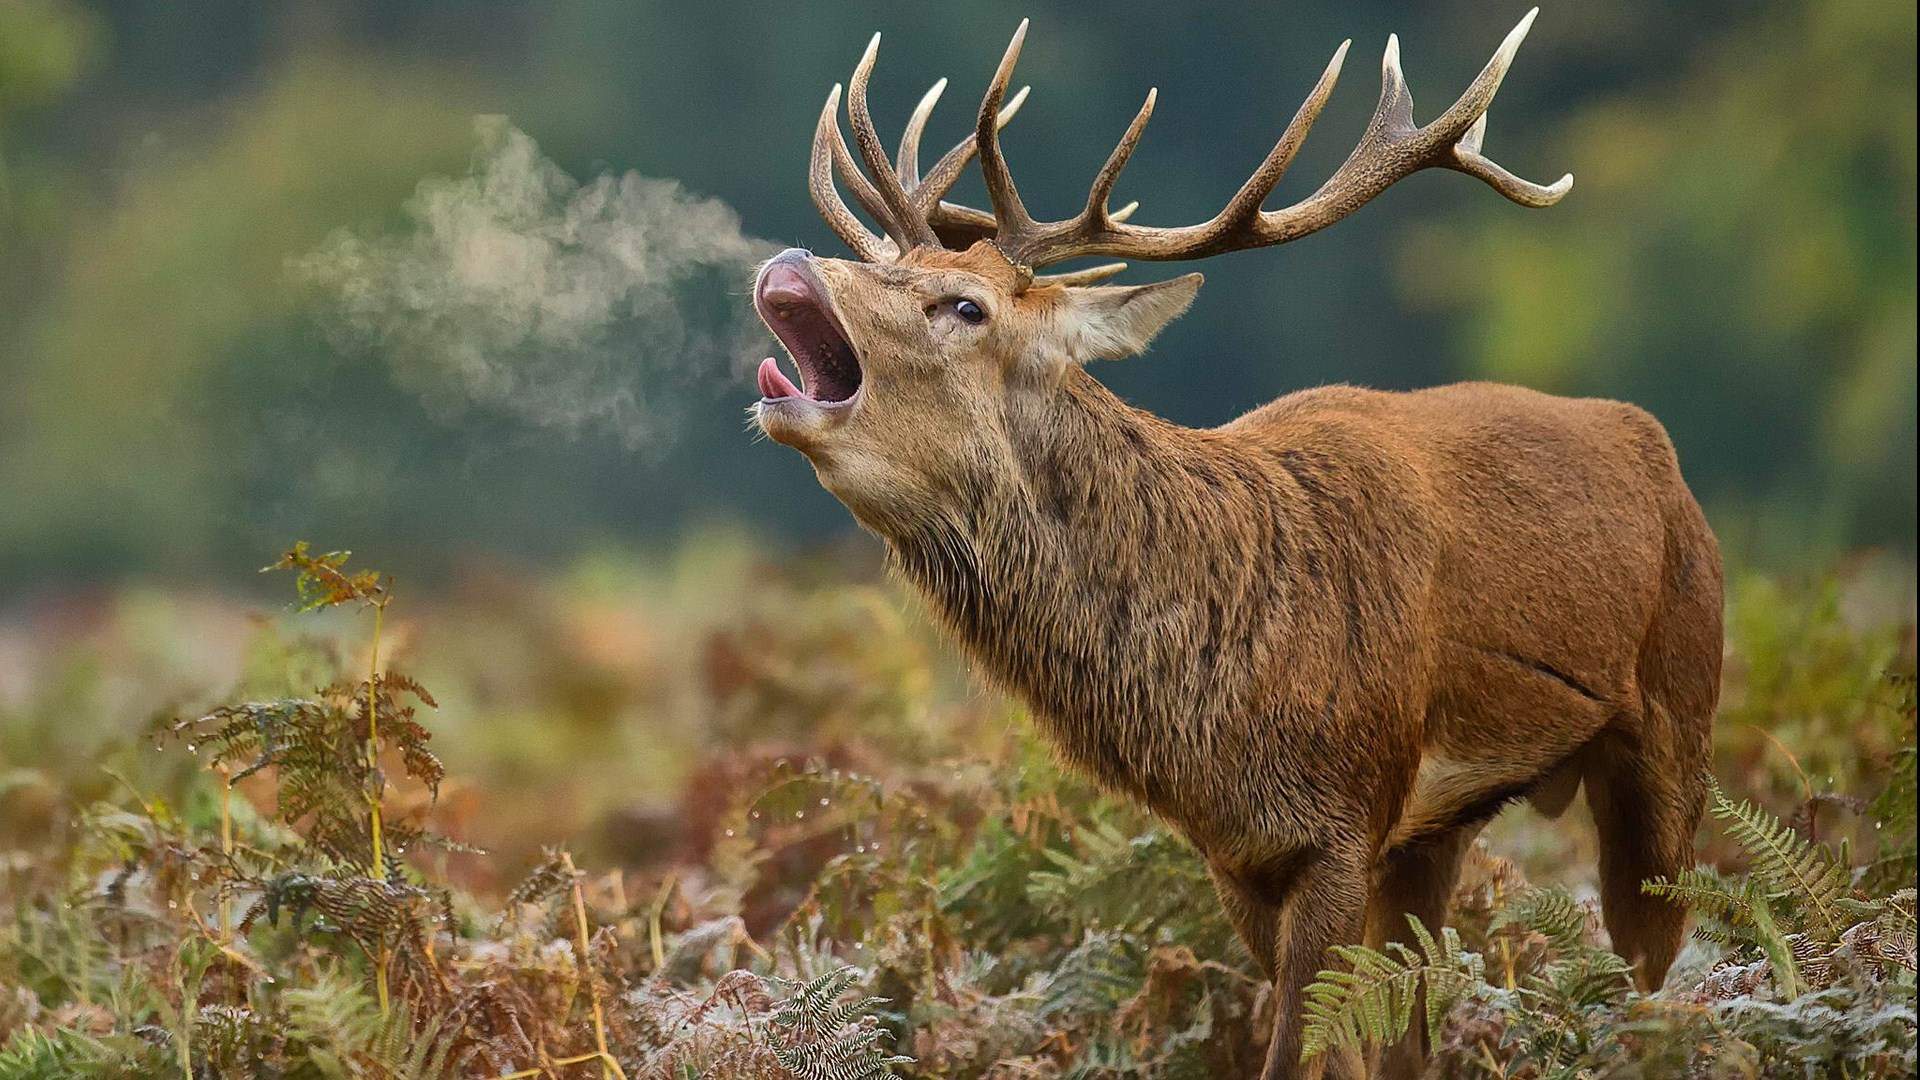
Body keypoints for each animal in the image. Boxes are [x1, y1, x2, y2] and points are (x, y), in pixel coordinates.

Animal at [746, 11, 1721, 1078]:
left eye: (965, 305)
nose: (791, 262)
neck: (1217, 707)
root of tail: (1656, 448)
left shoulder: (1344, 821)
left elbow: (1298, 1051)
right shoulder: (1237, 852)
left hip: (1677, 723)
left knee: (1655, 977)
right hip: (1438, 832)